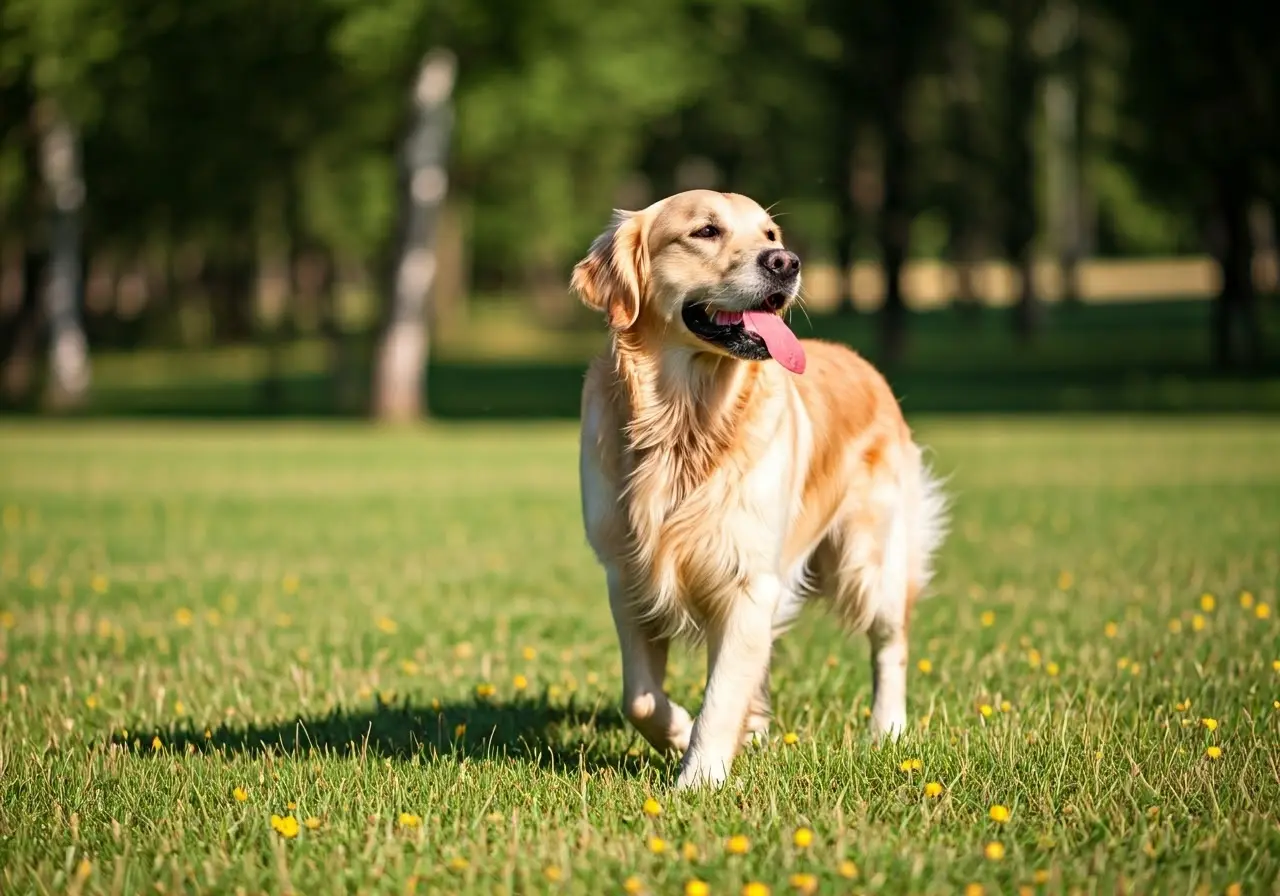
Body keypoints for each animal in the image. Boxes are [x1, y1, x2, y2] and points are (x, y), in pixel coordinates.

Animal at [576, 186, 947, 783]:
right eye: (706, 231)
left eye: (770, 234)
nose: (786, 263)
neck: (687, 424)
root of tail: (866, 366)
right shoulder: (627, 575)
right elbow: (640, 697)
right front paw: (680, 731)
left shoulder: (748, 578)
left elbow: (721, 695)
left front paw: (698, 779)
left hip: (870, 561)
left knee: (891, 644)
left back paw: (887, 730)